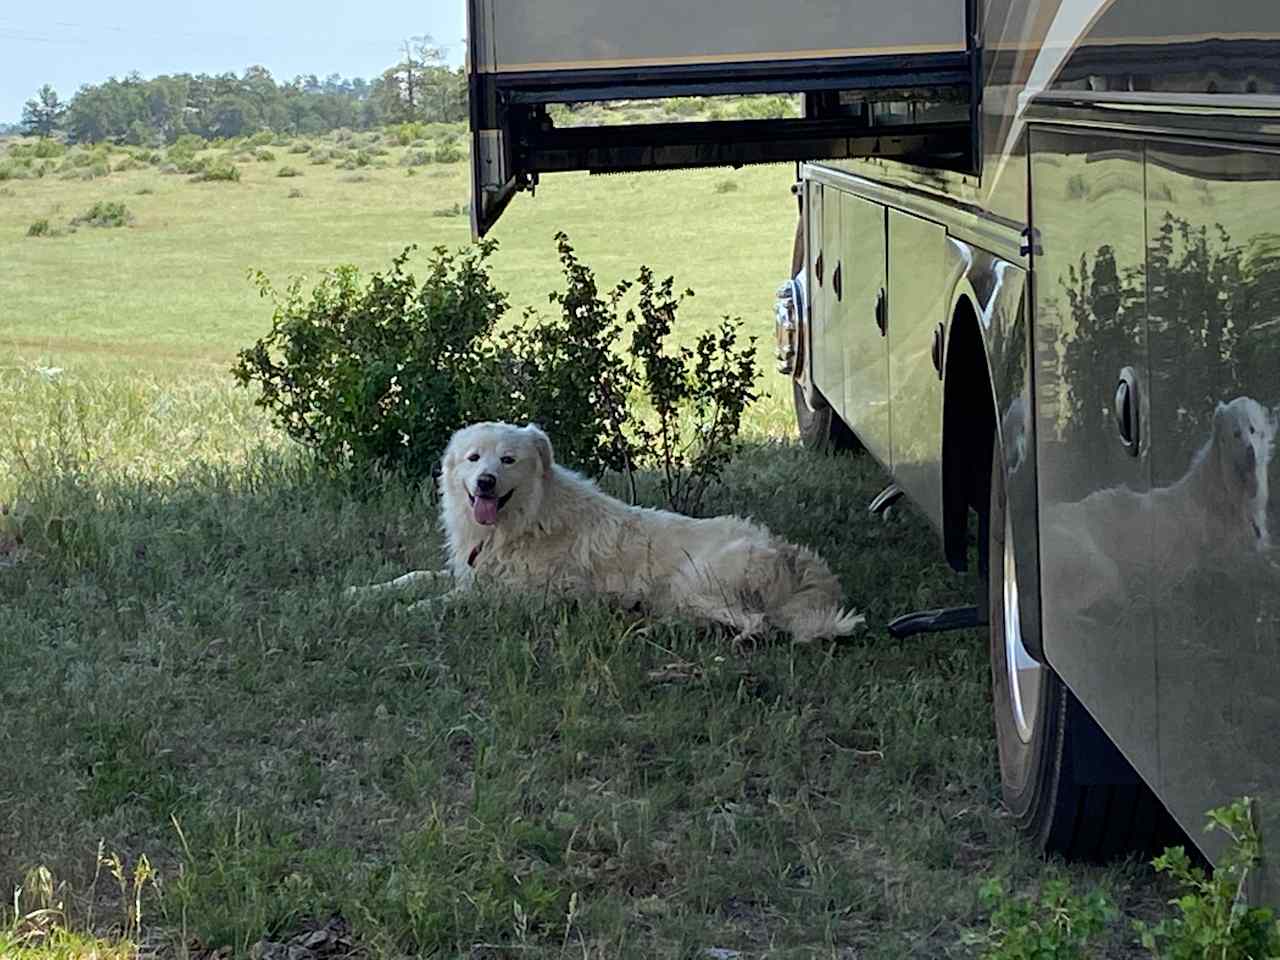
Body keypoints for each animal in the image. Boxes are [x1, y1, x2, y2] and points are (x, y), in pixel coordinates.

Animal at [345, 419, 865, 640]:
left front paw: (409, 610)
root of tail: (791, 555)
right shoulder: (472, 571)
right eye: (474, 458)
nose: (486, 482)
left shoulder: (522, 595)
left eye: (507, 460)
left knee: (758, 623)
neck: (524, 519)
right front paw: (364, 593)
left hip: (690, 583)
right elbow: (414, 577)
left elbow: (447, 600)